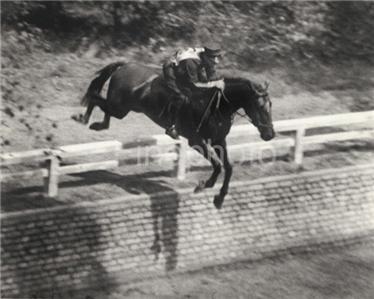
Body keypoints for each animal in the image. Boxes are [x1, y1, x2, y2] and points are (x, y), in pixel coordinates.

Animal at [73, 62, 276, 210]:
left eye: (270, 105)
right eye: (259, 106)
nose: (270, 134)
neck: (219, 105)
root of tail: (125, 65)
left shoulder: (219, 140)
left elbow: (229, 167)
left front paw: (219, 199)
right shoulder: (197, 141)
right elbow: (218, 165)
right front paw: (204, 185)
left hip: (123, 108)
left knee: (104, 106)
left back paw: (98, 124)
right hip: (119, 105)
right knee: (94, 96)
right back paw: (83, 118)